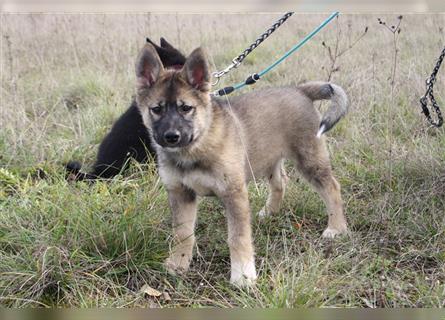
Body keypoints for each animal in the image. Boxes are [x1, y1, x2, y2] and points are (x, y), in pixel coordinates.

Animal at [134, 43, 348, 286]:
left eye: (186, 108)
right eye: (156, 109)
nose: (171, 137)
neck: (195, 147)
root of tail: (300, 90)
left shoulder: (233, 193)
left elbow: (237, 237)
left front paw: (243, 276)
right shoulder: (181, 193)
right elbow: (183, 233)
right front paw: (178, 264)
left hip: (310, 160)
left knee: (332, 188)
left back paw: (336, 227)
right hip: (269, 158)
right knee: (280, 183)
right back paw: (270, 212)